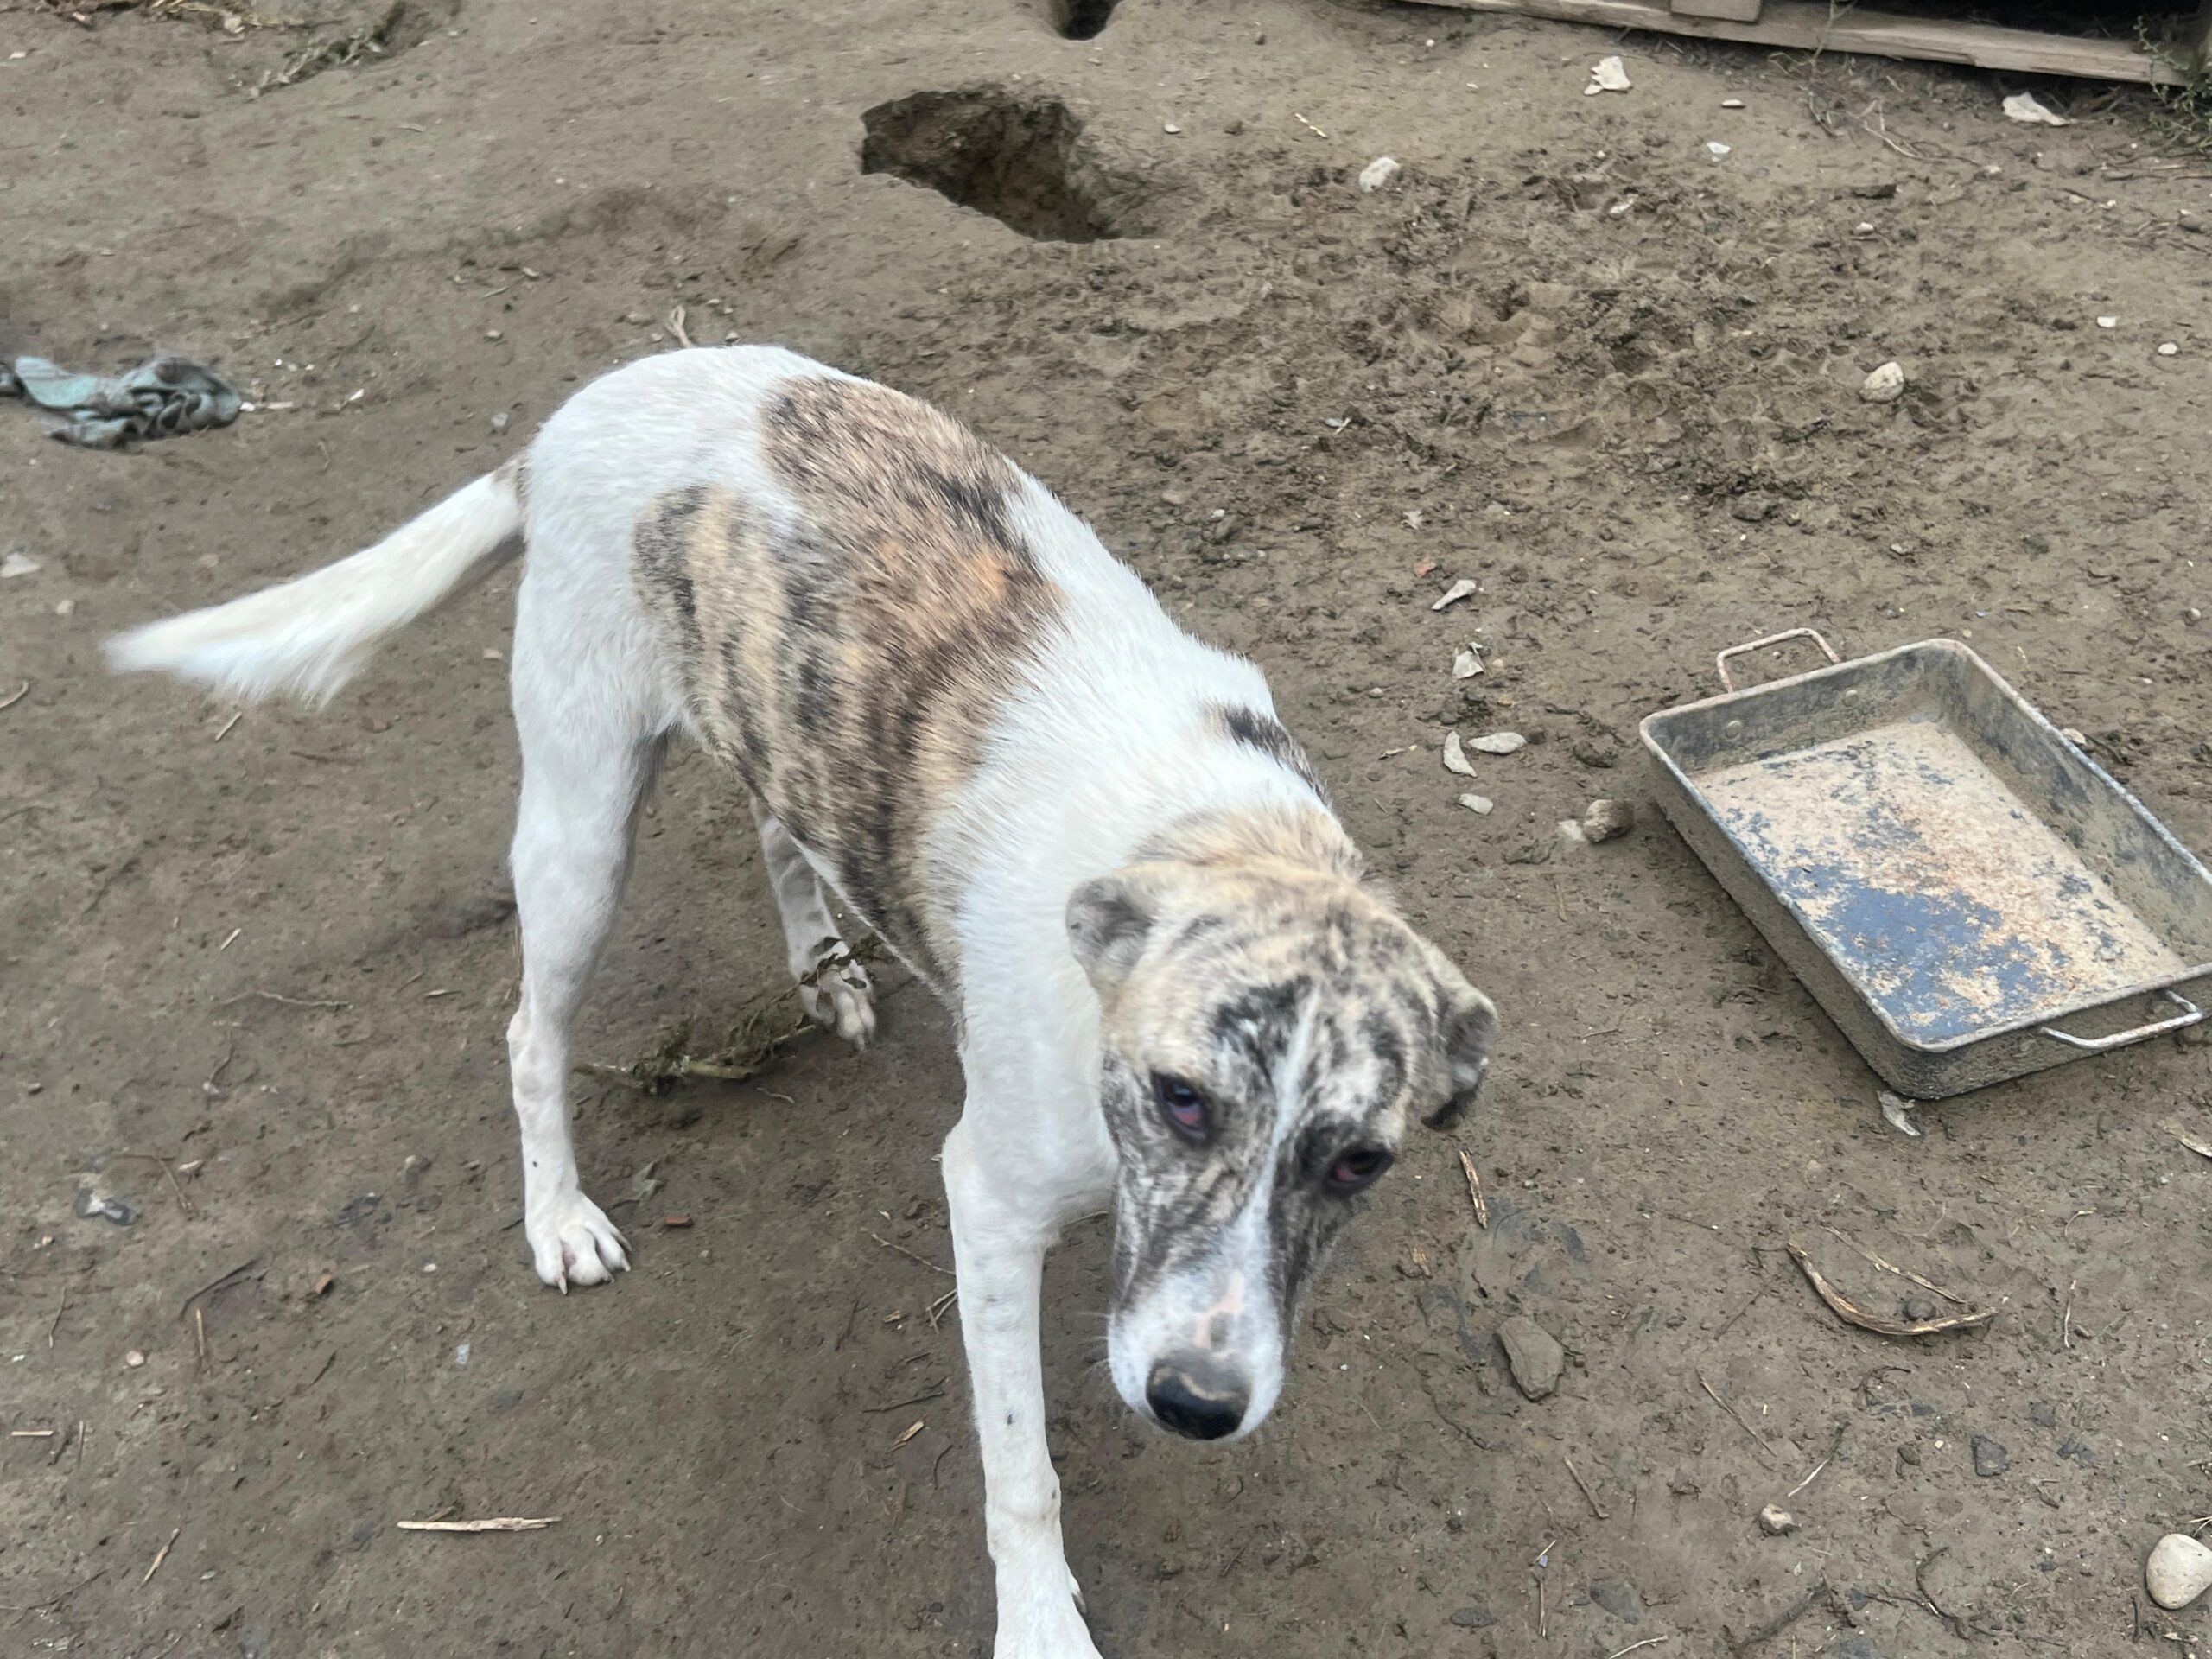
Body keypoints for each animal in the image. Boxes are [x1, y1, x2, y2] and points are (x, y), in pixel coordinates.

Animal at [107, 346, 1498, 1658]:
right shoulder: (988, 1201)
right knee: (527, 1035)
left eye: (1362, 1163)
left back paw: (822, 964)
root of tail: (565, 424)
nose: (1197, 1405)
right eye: (1182, 1099)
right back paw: (558, 1214)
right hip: (580, 829)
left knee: (779, 826)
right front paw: (1040, 1625)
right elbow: (1022, 1471)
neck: (1214, 839)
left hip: (765, 722)